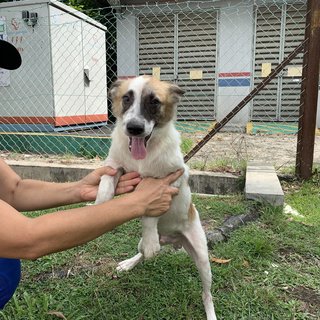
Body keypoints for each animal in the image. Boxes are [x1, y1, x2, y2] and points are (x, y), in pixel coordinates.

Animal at [95, 75, 218, 320]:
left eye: (154, 102)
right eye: (126, 98)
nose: (134, 128)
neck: (144, 156)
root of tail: (173, 240)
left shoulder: (170, 182)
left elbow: (149, 214)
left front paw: (150, 235)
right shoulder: (114, 164)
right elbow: (105, 183)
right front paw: (99, 205)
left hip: (202, 256)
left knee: (206, 294)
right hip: (145, 244)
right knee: (141, 252)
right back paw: (129, 263)